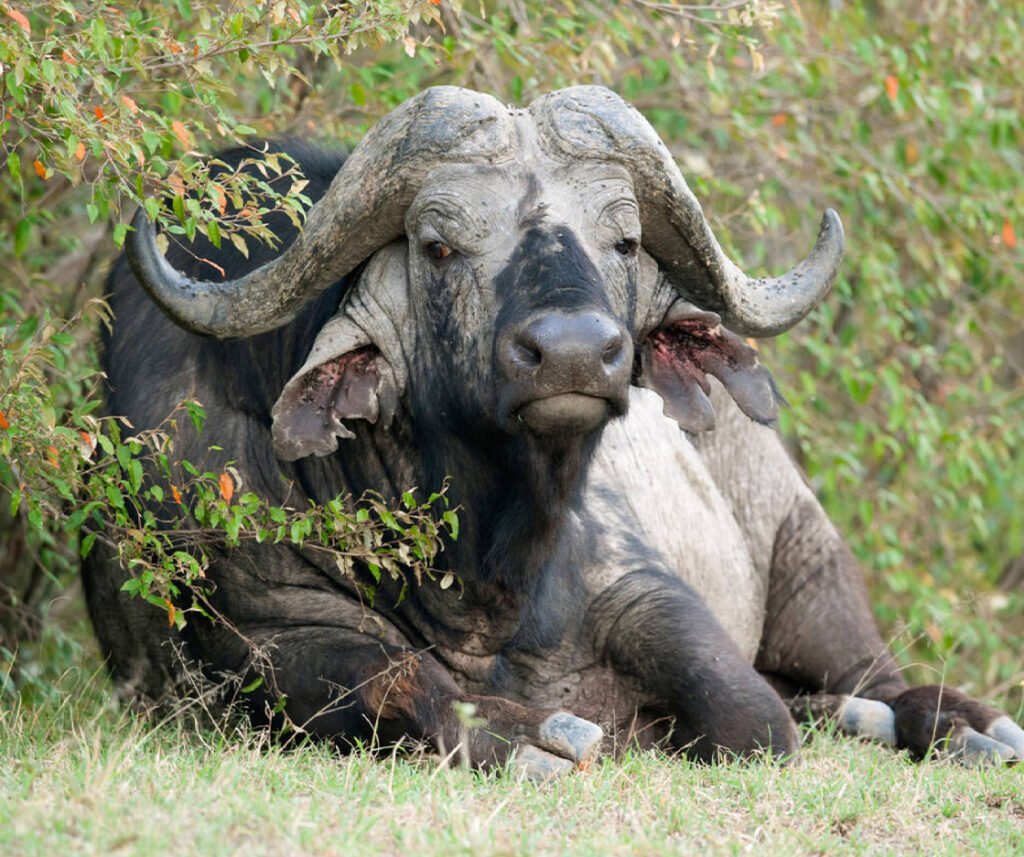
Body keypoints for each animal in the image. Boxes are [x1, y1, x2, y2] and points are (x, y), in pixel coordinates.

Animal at [84, 86, 1024, 775]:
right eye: (437, 244)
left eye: (626, 239)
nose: (573, 352)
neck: (474, 574)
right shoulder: (253, 639)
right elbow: (390, 677)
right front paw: (525, 734)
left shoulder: (638, 583)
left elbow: (748, 713)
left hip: (807, 549)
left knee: (872, 675)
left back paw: (961, 724)